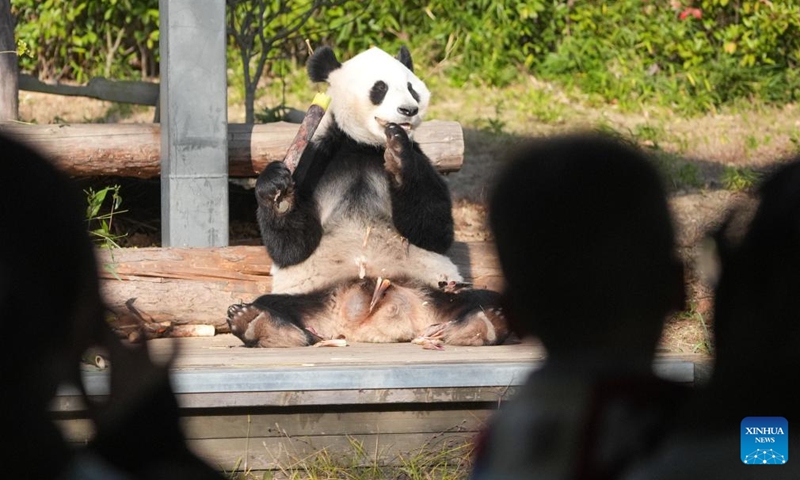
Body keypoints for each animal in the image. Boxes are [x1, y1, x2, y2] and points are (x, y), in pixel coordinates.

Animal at [228, 46, 510, 348]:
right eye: (380, 88)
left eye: (411, 88)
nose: (409, 110)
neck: (365, 144)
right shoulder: (317, 156)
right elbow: (291, 248)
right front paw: (276, 189)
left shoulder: (422, 160)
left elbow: (436, 231)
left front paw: (398, 155)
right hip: (316, 295)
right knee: (276, 303)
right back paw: (256, 323)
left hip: (436, 290)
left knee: (481, 298)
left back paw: (485, 323)